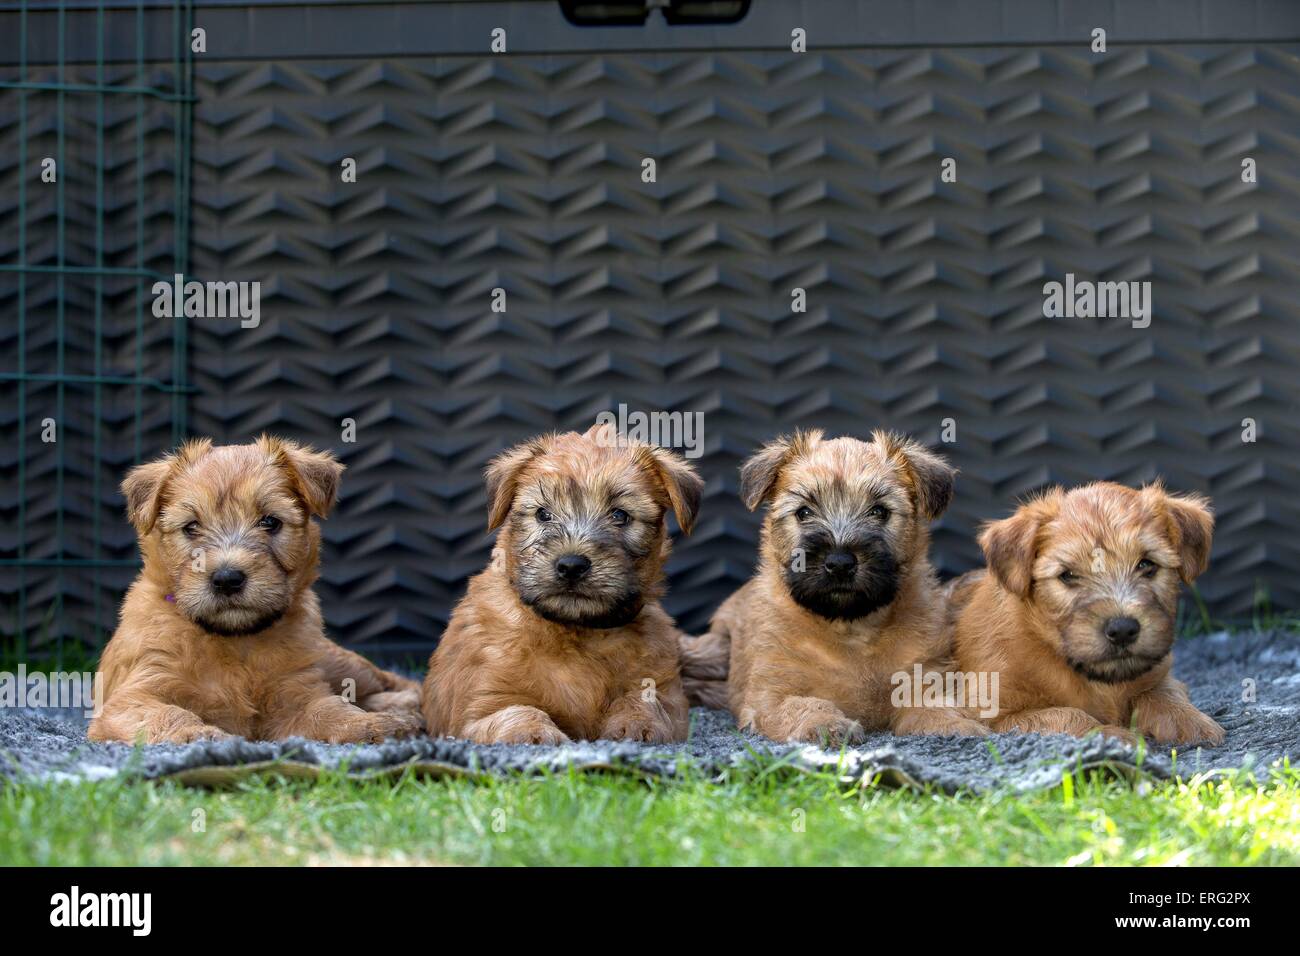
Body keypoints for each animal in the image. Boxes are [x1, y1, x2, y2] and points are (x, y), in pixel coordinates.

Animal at [87, 439, 421, 749]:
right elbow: (167, 713)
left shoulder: (296, 692)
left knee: (388, 680)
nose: (227, 579)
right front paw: (199, 735)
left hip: (337, 660)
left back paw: (406, 705)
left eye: (270, 521)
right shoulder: (134, 695)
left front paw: (373, 725)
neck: (236, 640)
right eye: (191, 526)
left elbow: (330, 709)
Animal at [421, 426, 702, 749]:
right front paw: (531, 732)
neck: (575, 631)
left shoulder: (667, 694)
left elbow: (644, 700)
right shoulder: (478, 707)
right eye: (543, 514)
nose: (571, 566)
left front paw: (637, 722)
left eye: (620, 515)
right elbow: (515, 710)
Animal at [691, 429, 982, 743]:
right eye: (804, 513)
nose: (840, 563)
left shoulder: (925, 675)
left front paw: (954, 725)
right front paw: (824, 723)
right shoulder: (770, 695)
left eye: (879, 511)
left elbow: (935, 703)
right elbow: (801, 705)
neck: (851, 629)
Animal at [951, 478, 1222, 749]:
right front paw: (1111, 736)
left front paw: (1191, 721)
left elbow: (1161, 692)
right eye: (1068, 575)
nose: (1122, 630)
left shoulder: (1161, 674)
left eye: (1147, 564)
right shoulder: (994, 715)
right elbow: (1066, 716)